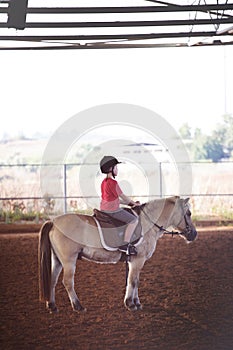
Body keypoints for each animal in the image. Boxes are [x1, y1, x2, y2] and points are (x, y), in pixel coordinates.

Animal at [37, 196, 197, 314]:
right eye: (189, 213)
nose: (194, 234)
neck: (148, 223)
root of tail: (53, 222)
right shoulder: (138, 260)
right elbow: (133, 281)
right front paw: (130, 304)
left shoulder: (135, 261)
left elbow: (136, 281)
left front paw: (137, 303)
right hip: (69, 260)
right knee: (68, 282)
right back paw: (78, 306)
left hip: (58, 260)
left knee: (52, 280)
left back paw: (52, 306)